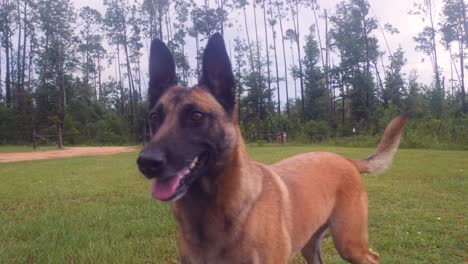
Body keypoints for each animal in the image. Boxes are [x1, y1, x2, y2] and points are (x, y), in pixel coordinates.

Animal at [137, 33, 408, 264]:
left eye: (196, 116)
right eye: (154, 117)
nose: (146, 163)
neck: (210, 209)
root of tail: (347, 161)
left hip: (349, 242)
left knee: (373, 257)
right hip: (311, 244)